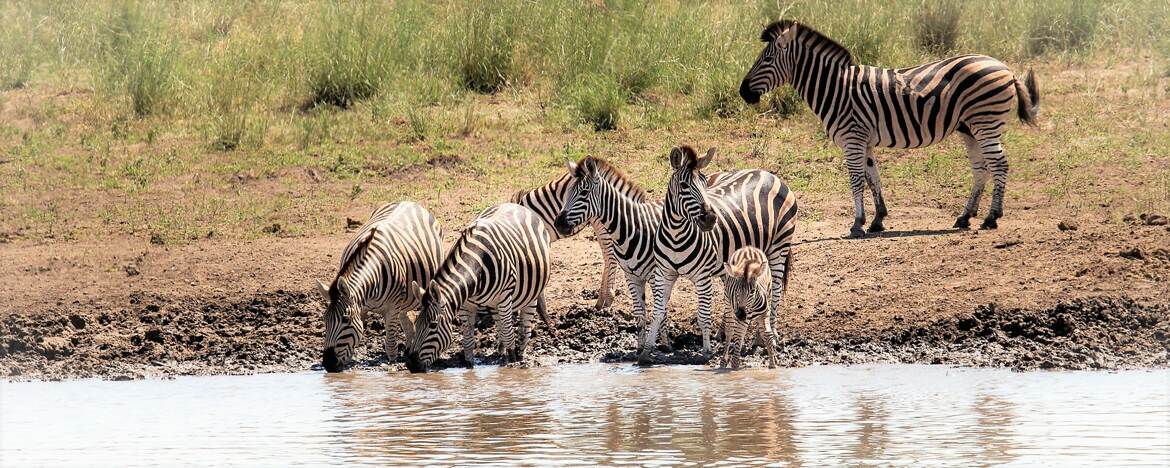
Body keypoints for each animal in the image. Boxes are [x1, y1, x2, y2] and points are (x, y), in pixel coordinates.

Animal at [315, 201, 442, 372]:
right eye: (324, 319)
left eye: (345, 319)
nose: (328, 364)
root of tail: (408, 201)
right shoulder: (361, 307)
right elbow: (355, 337)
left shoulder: (392, 308)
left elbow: (390, 345)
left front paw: (392, 366)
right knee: (409, 321)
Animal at [404, 202, 554, 372]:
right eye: (416, 323)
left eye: (433, 325)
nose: (411, 364)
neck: (477, 264)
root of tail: (515, 205)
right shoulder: (466, 305)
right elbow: (468, 340)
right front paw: (469, 367)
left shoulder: (504, 296)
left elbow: (509, 334)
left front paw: (513, 364)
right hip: (494, 304)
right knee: (501, 326)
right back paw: (501, 353)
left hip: (530, 294)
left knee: (523, 329)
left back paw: (520, 355)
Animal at [645, 146, 800, 365]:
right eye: (684, 185)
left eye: (704, 183)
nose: (710, 219)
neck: (676, 234)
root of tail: (768, 173)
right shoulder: (664, 273)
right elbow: (658, 312)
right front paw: (646, 351)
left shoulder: (702, 277)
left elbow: (703, 315)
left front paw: (706, 352)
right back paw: (727, 333)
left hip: (780, 246)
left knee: (775, 292)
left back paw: (764, 337)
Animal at [739, 19, 1043, 236]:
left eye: (766, 60)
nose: (743, 92)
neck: (835, 88)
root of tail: (1004, 66)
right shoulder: (864, 141)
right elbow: (873, 178)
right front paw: (877, 220)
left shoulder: (852, 137)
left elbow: (856, 179)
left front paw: (857, 223)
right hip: (970, 127)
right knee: (981, 169)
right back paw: (965, 216)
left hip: (985, 121)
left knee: (999, 164)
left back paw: (992, 217)